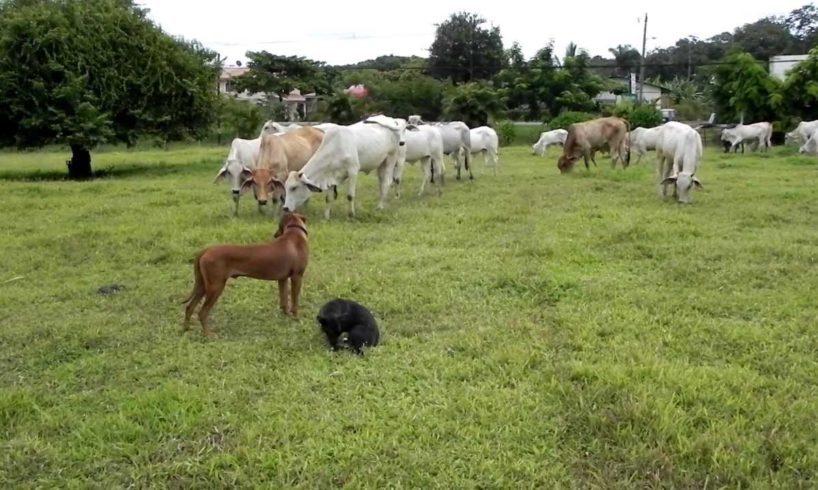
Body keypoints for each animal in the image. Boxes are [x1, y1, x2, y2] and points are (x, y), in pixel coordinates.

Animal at [182, 212, 310, 334]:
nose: (275, 235)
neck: (294, 233)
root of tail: (206, 250)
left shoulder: (282, 279)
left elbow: (283, 300)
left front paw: (286, 314)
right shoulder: (297, 277)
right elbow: (295, 301)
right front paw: (296, 318)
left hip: (203, 285)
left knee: (189, 307)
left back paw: (186, 328)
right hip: (216, 287)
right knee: (202, 312)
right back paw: (208, 334)